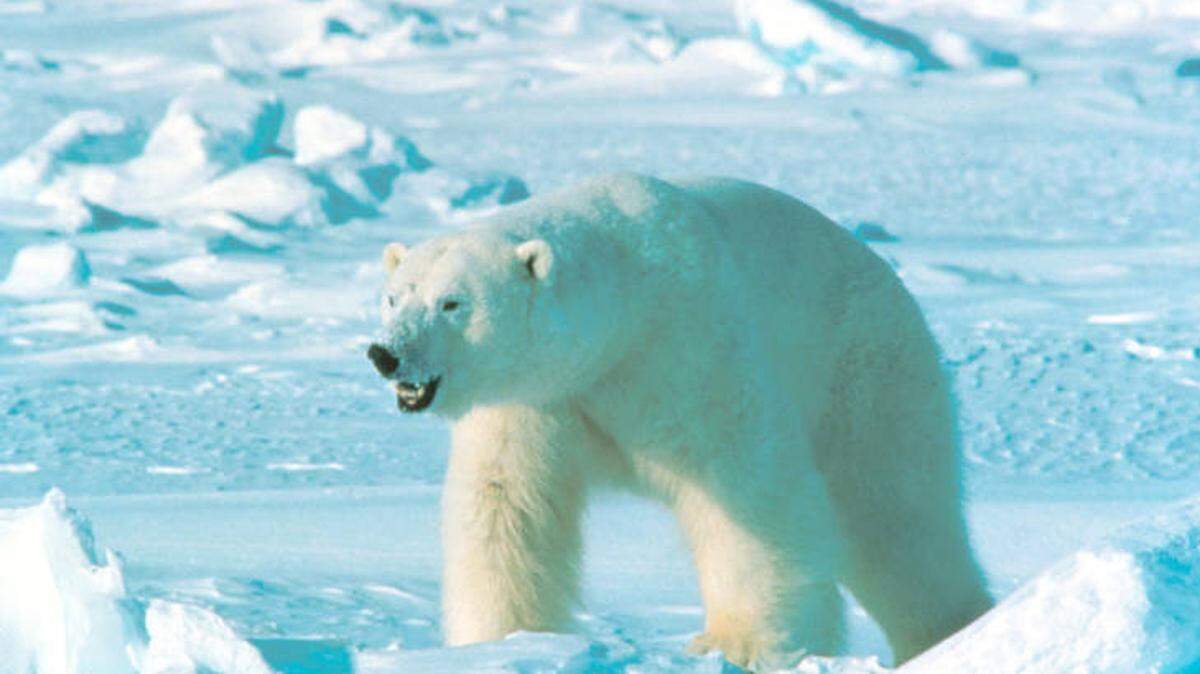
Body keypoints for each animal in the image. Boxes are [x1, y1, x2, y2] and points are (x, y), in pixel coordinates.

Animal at [367, 173, 992, 669]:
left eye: (452, 303)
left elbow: (747, 489)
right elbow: (506, 502)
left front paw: (739, 643)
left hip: (867, 378)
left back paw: (951, 632)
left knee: (898, 517)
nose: (385, 354)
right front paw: (500, 642)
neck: (621, 320)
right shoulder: (535, 400)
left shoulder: (687, 349)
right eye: (395, 298)